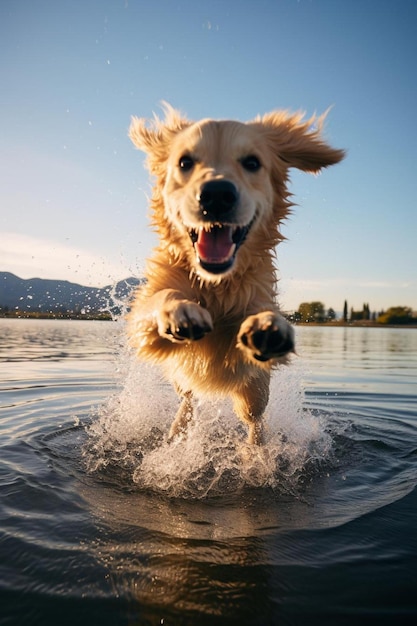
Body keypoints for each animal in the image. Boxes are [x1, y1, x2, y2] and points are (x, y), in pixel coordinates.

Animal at [127, 103, 344, 444]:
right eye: (185, 162)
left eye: (252, 162)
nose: (216, 194)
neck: (216, 284)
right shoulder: (147, 318)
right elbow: (160, 300)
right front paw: (180, 311)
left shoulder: (253, 312)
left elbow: (258, 317)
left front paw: (268, 326)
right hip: (181, 377)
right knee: (188, 397)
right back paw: (178, 429)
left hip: (255, 391)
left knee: (255, 422)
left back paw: (255, 450)